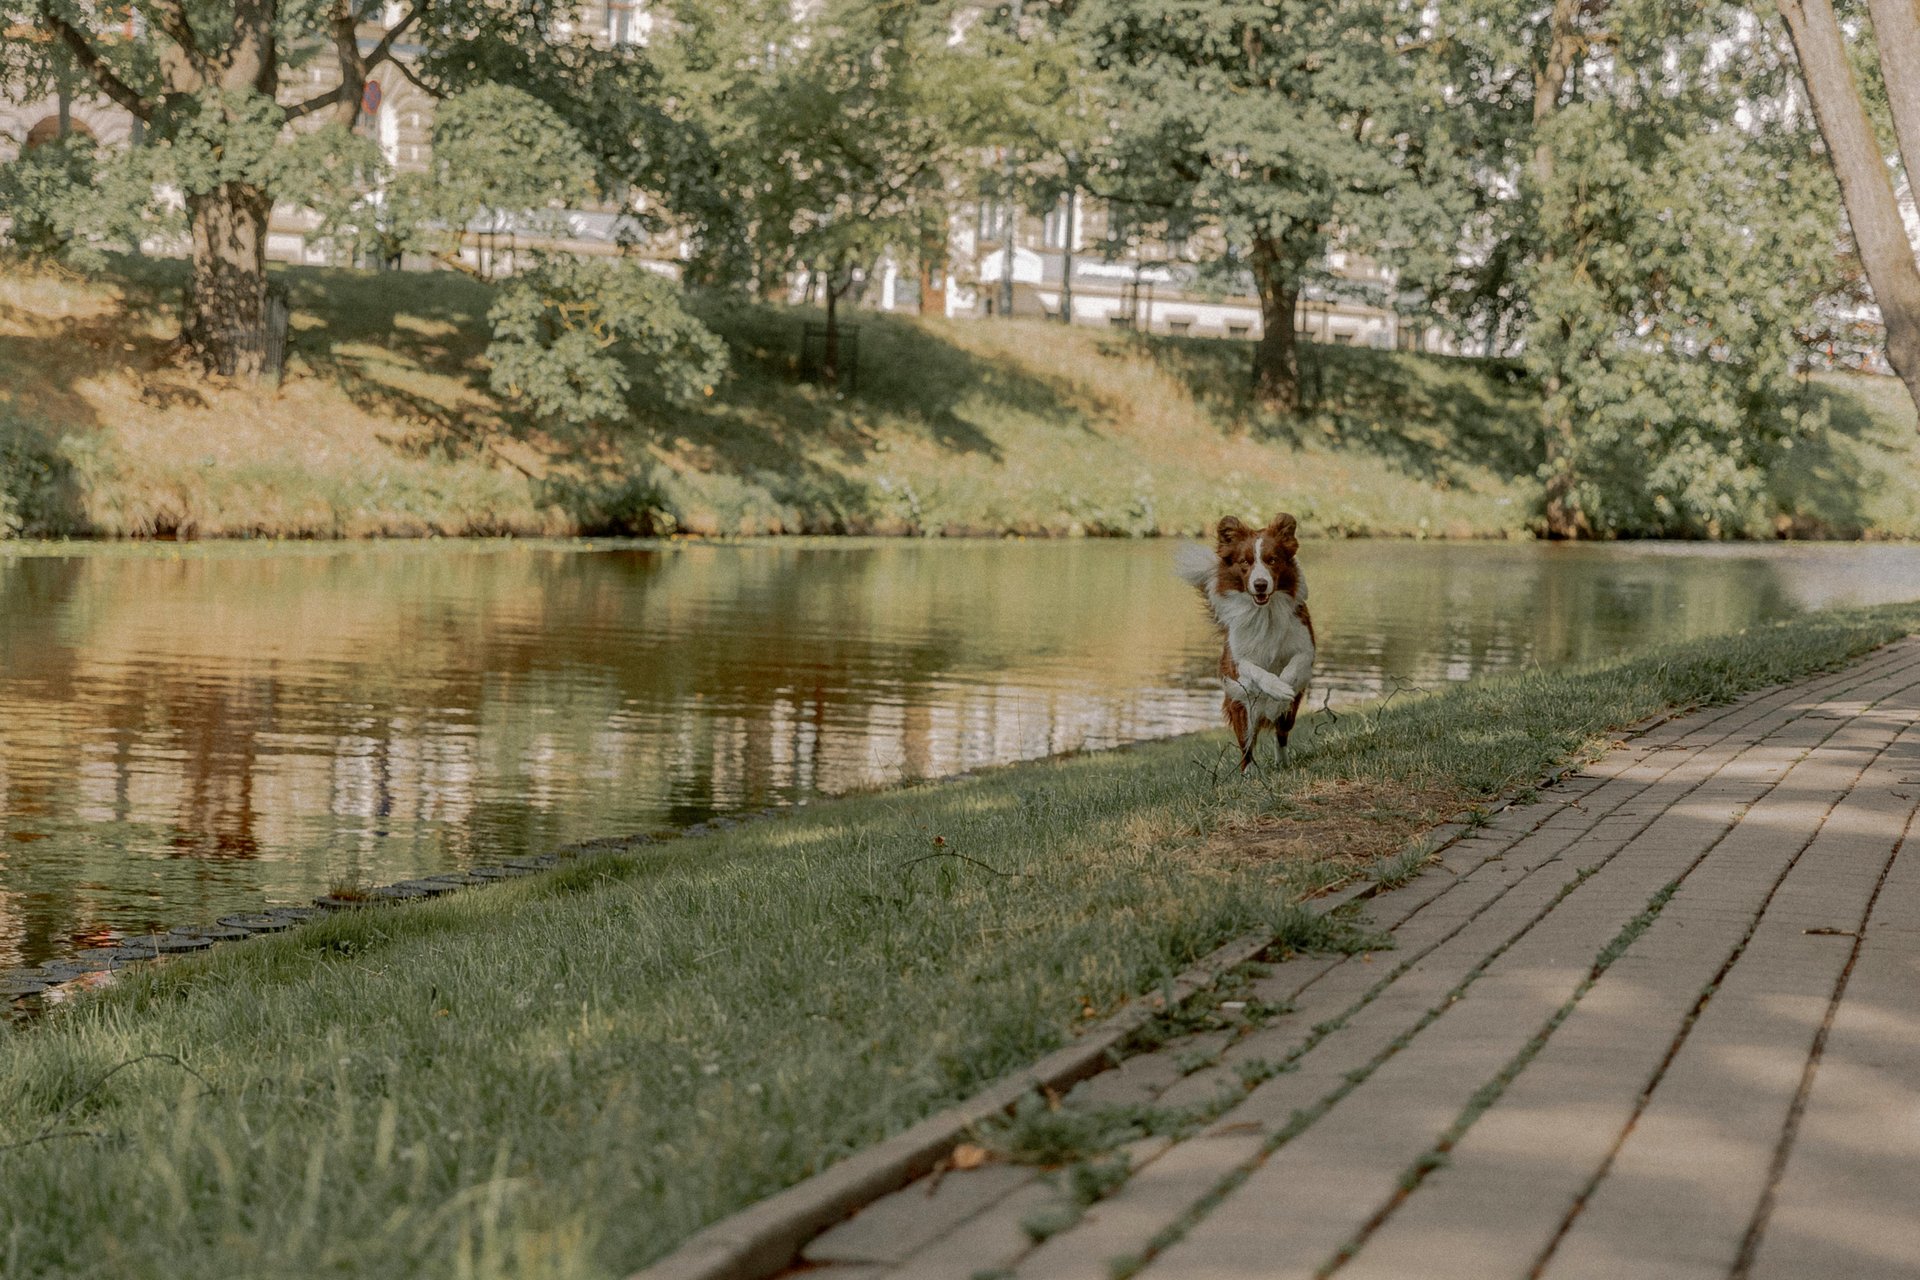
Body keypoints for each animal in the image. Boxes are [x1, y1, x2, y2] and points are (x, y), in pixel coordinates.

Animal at [1175, 514, 1313, 771]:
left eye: (1272, 560)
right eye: (1245, 562)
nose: (1260, 585)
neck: (1264, 613)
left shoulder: (1307, 648)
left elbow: (1294, 666)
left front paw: (1282, 689)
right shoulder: (1237, 661)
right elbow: (1257, 671)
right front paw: (1276, 688)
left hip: (1288, 715)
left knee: (1282, 734)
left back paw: (1282, 760)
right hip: (1241, 708)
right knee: (1246, 747)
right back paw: (1249, 772)